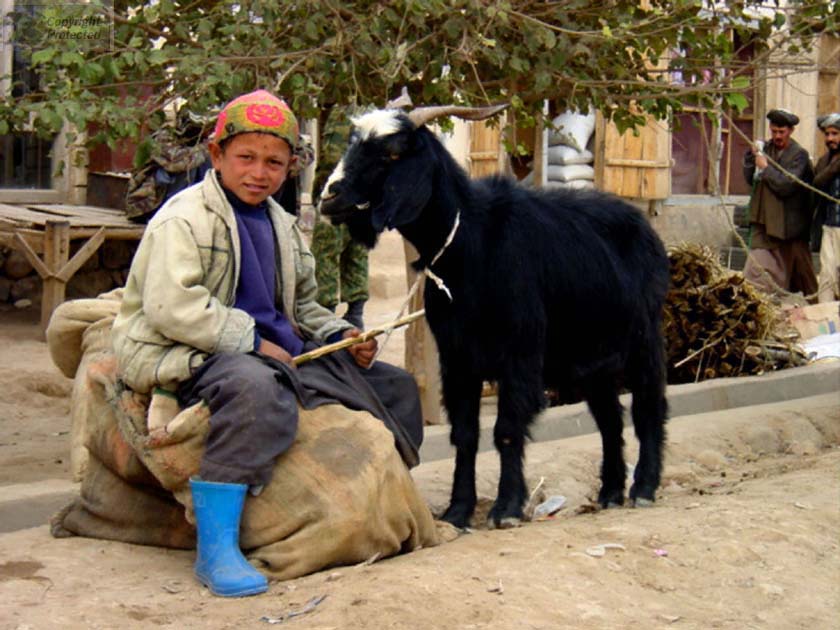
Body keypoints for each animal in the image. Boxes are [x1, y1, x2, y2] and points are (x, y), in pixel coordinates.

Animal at [320, 105, 668, 528]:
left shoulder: (520, 353)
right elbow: (465, 434)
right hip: (593, 359)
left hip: (643, 339)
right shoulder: (456, 358)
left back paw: (643, 488)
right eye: (353, 143)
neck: (470, 242)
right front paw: (457, 510)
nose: (329, 196)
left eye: (392, 153)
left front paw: (506, 508)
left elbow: (506, 430)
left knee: (648, 406)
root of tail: (645, 230)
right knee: (610, 419)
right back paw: (610, 492)